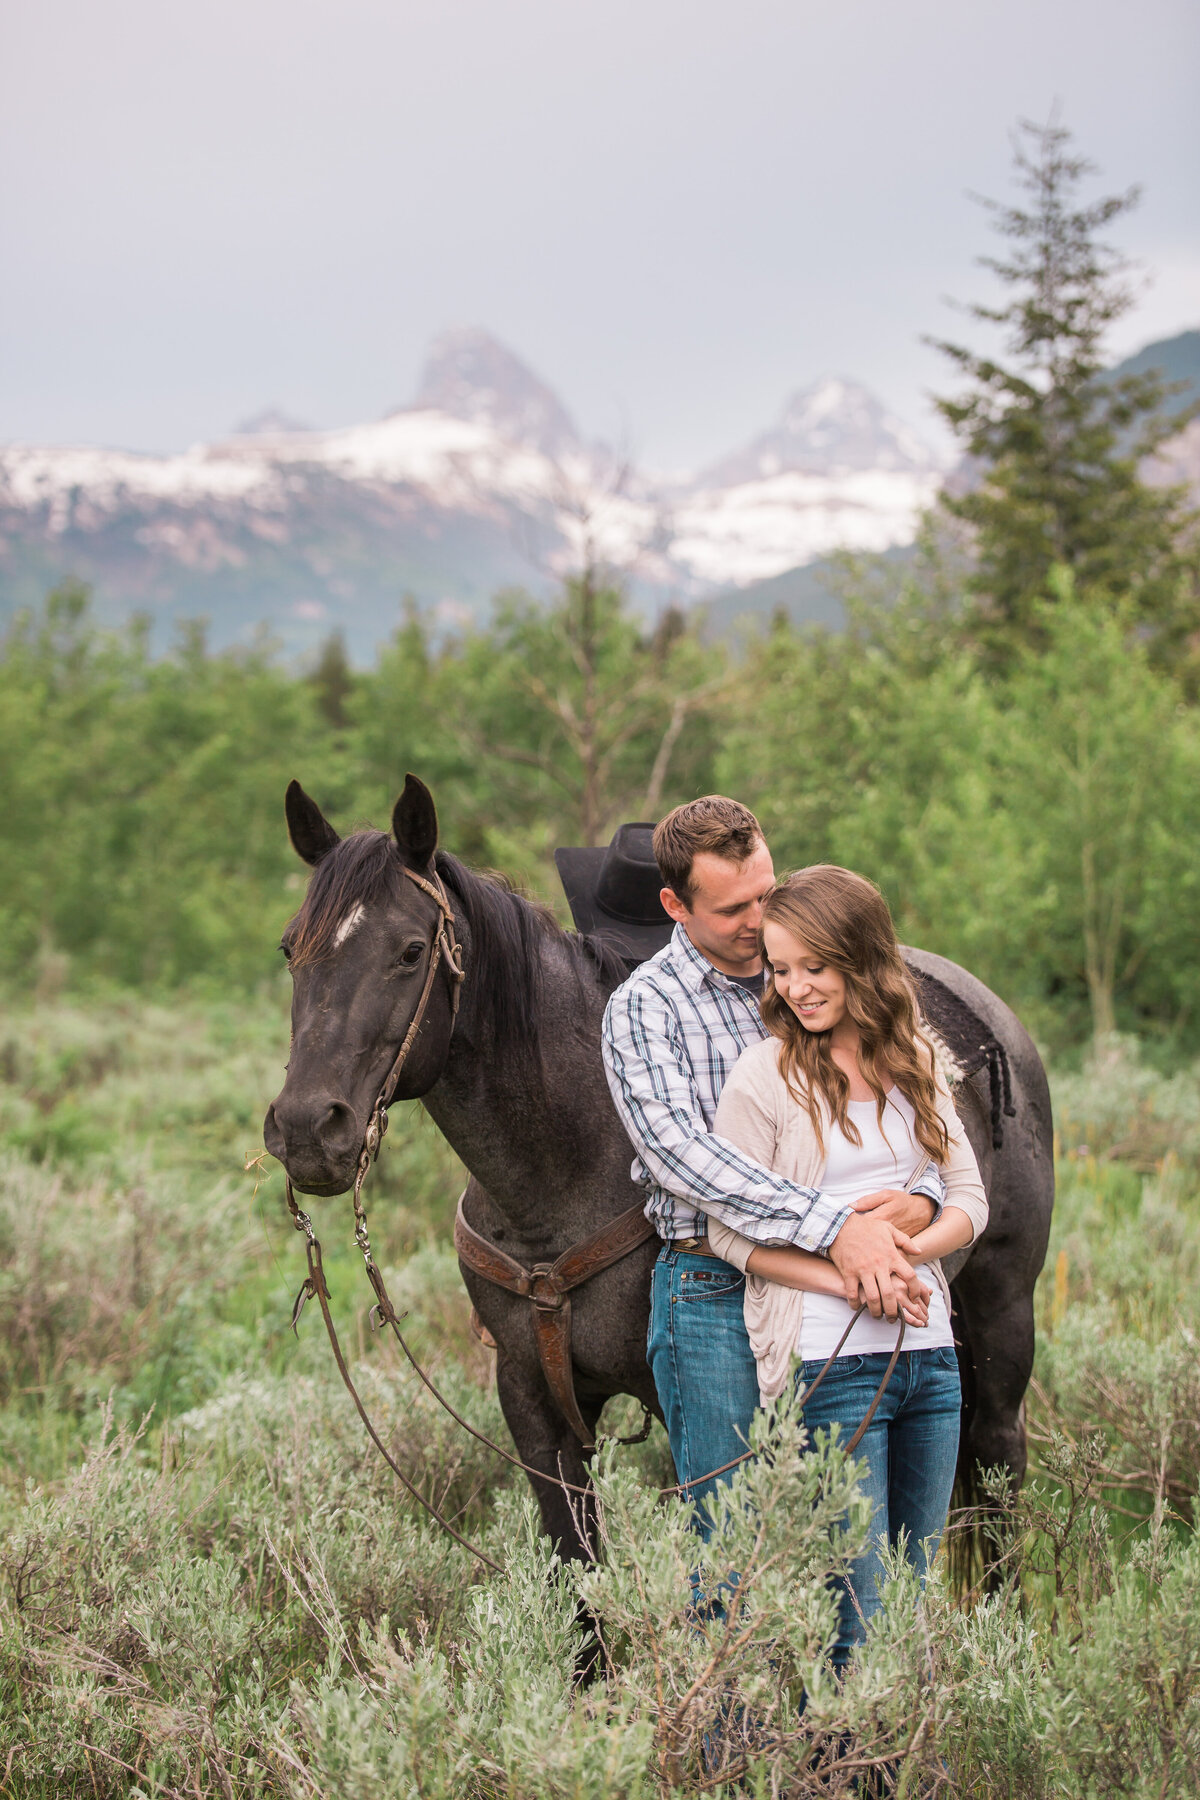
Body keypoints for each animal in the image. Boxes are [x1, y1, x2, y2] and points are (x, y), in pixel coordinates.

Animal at [268, 774, 1057, 1562]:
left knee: (996, 1466)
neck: (556, 1185)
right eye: (289, 949)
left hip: (1003, 1310)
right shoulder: (532, 1409)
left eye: (408, 951)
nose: (307, 1127)